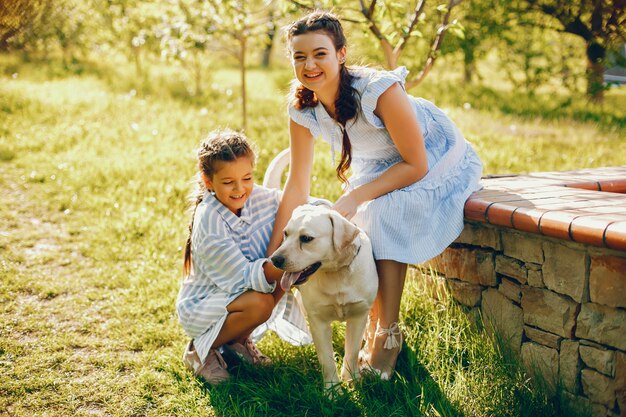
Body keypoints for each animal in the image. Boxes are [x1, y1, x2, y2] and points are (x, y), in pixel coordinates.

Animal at [268, 203, 376, 392]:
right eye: (286, 233)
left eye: (306, 238)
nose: (275, 259)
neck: (336, 273)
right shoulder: (318, 321)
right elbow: (327, 360)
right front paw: (333, 392)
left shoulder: (359, 316)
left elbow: (352, 351)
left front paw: (351, 381)